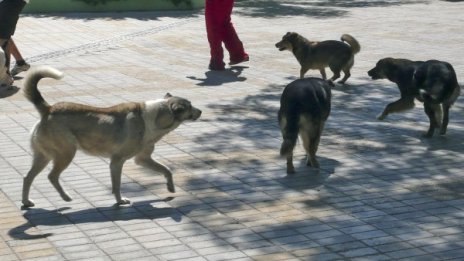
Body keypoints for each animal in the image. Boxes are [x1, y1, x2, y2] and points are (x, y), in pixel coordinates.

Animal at [21, 65, 201, 207]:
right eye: (190, 106)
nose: (201, 111)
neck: (155, 116)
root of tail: (48, 109)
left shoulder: (143, 159)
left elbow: (167, 169)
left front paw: (170, 187)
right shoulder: (117, 161)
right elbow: (117, 185)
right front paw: (120, 201)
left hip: (43, 156)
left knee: (27, 177)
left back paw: (27, 201)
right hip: (66, 153)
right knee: (52, 176)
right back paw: (65, 197)